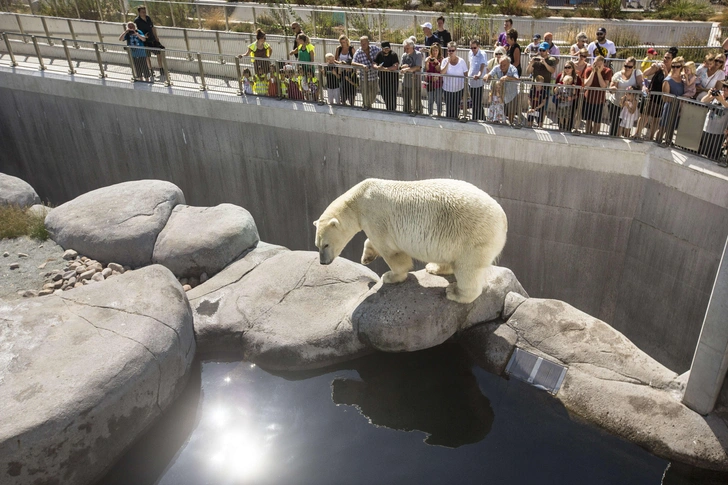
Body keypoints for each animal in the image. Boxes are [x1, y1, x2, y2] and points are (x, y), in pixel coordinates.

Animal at [312, 178, 506, 302]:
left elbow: (391, 252)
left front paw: (389, 276)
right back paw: (434, 268)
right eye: (317, 245)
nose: (323, 262)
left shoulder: (375, 218)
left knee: (468, 269)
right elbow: (372, 242)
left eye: (326, 244)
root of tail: (503, 221)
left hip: (472, 236)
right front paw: (366, 258)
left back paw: (455, 292)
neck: (358, 200)